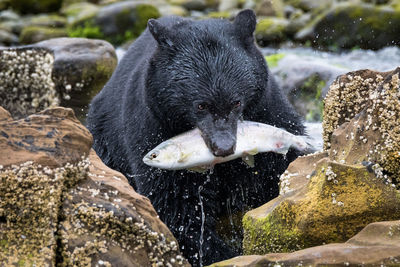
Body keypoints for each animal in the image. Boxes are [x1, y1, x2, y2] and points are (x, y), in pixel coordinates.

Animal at [87, 9, 304, 266]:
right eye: (201, 105)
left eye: (236, 102)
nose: (224, 147)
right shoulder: (151, 128)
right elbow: (177, 203)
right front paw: (220, 253)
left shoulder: (269, 109)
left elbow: (278, 167)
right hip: (105, 143)